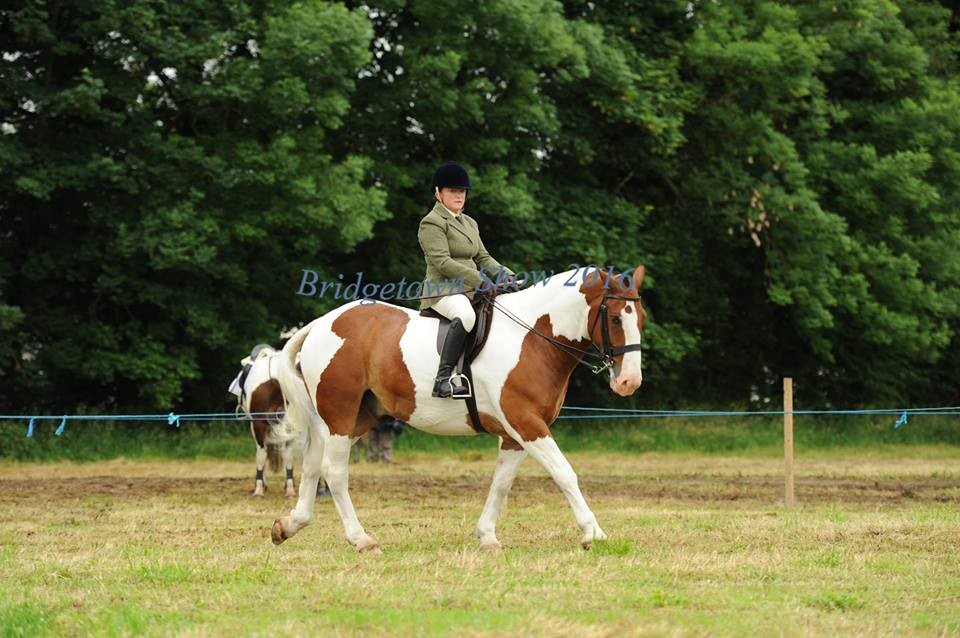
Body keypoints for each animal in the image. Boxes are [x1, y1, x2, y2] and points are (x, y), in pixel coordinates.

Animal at [269, 266, 646, 551]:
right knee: (334, 471)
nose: (629, 382)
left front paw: (487, 537)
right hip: (342, 413)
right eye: (615, 318)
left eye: (640, 317)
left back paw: (289, 525)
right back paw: (361, 539)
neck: (531, 338)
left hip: (355, 417)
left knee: (313, 464)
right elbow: (564, 473)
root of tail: (321, 324)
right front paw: (593, 532)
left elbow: (501, 483)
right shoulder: (527, 423)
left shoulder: (514, 433)